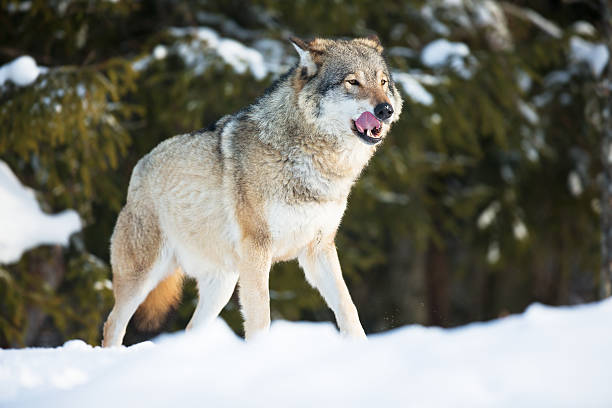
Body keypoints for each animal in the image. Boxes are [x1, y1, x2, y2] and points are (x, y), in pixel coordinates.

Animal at [101, 35, 402, 348]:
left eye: (382, 82)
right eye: (352, 82)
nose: (386, 110)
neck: (312, 159)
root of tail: (141, 165)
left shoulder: (319, 248)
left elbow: (347, 307)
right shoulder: (258, 248)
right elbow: (261, 316)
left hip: (222, 285)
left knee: (189, 328)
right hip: (142, 277)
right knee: (113, 324)